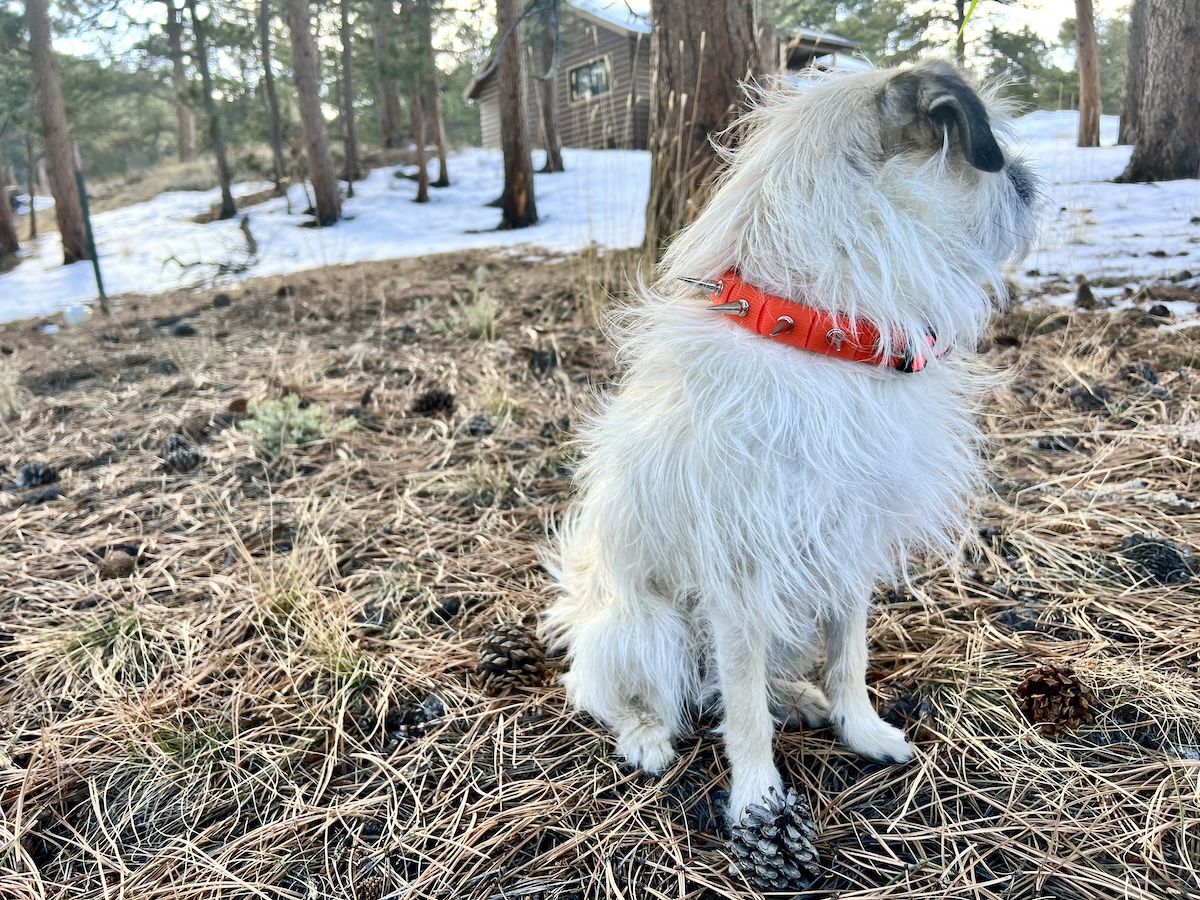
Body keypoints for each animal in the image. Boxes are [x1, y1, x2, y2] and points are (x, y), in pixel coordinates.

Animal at [544, 61, 1041, 825]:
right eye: (996, 157)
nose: (1028, 178)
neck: (814, 331)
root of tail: (581, 610)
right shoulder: (739, 575)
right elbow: (743, 705)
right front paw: (757, 797)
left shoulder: (847, 546)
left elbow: (847, 656)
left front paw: (860, 729)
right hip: (651, 629)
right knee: (630, 692)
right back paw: (647, 735)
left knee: (721, 684)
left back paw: (800, 699)